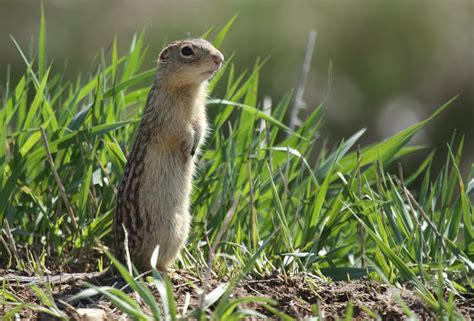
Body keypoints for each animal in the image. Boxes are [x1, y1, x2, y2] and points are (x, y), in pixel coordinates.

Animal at [115, 38, 225, 272]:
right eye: (187, 51)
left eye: (208, 42)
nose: (219, 58)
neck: (190, 90)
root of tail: (120, 260)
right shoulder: (169, 117)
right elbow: (181, 131)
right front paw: (189, 146)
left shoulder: (201, 114)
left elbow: (202, 127)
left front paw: (195, 146)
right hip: (170, 231)